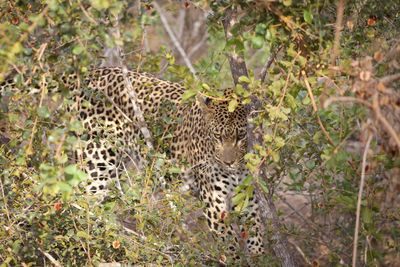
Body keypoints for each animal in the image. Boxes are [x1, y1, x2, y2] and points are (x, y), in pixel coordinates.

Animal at [0, 67, 262, 258]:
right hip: (97, 162)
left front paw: (260, 256)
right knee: (80, 204)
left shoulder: (248, 197)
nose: (228, 163)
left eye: (240, 136)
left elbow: (256, 235)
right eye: (217, 136)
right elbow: (230, 246)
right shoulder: (214, 201)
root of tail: (90, 73)